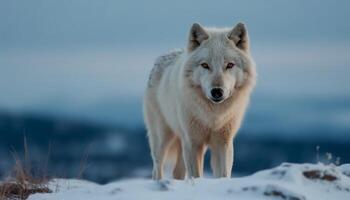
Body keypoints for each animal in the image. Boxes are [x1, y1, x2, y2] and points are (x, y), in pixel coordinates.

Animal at [143, 21, 258, 180]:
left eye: (229, 65)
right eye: (205, 65)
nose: (217, 91)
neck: (213, 116)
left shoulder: (223, 142)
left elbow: (223, 174)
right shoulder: (193, 143)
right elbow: (196, 174)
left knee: (177, 172)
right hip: (163, 138)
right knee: (157, 168)